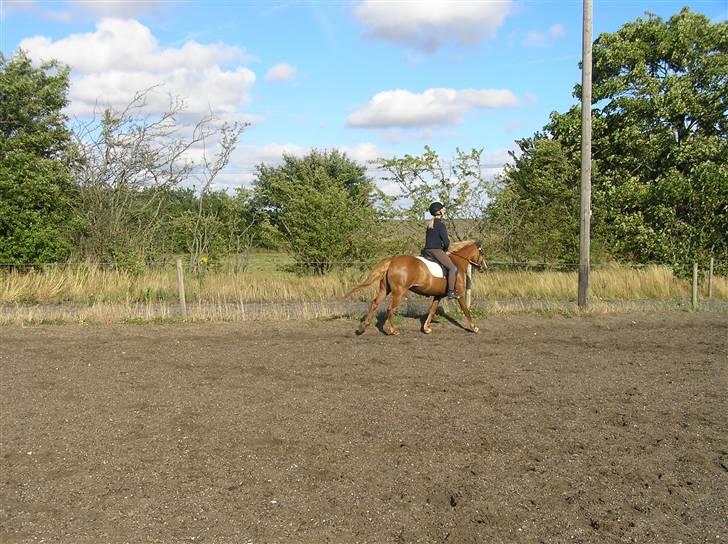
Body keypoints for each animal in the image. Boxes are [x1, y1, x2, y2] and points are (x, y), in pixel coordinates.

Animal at [348, 239, 486, 334]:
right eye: (482, 252)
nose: (484, 267)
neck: (458, 262)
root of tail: (392, 261)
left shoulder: (438, 296)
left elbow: (432, 311)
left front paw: (426, 328)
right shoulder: (460, 295)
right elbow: (466, 311)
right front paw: (474, 327)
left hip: (385, 290)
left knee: (375, 303)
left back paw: (363, 327)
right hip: (399, 293)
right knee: (390, 309)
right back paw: (393, 331)